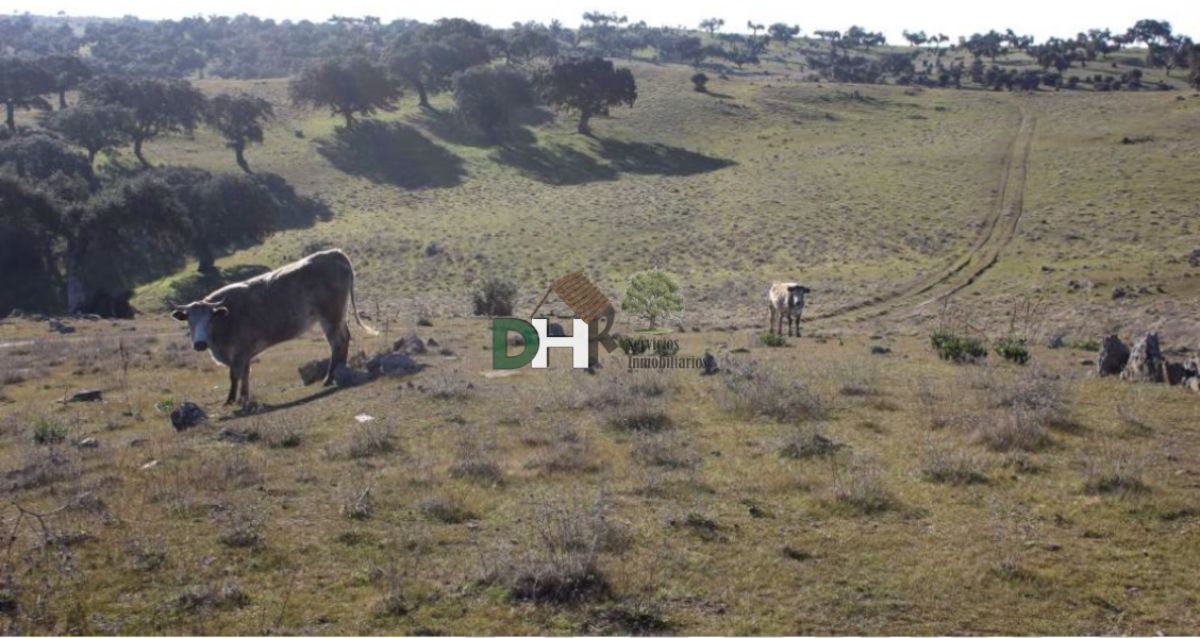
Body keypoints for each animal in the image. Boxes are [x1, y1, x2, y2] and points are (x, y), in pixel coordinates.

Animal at [172, 249, 374, 402]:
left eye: (210, 319)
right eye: (189, 320)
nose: (199, 343)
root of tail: (334, 253)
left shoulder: (239, 351)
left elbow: (235, 375)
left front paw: (231, 400)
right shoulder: (244, 353)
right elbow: (245, 373)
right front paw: (243, 397)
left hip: (330, 317)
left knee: (337, 342)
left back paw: (330, 377)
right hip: (337, 317)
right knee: (344, 338)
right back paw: (340, 369)